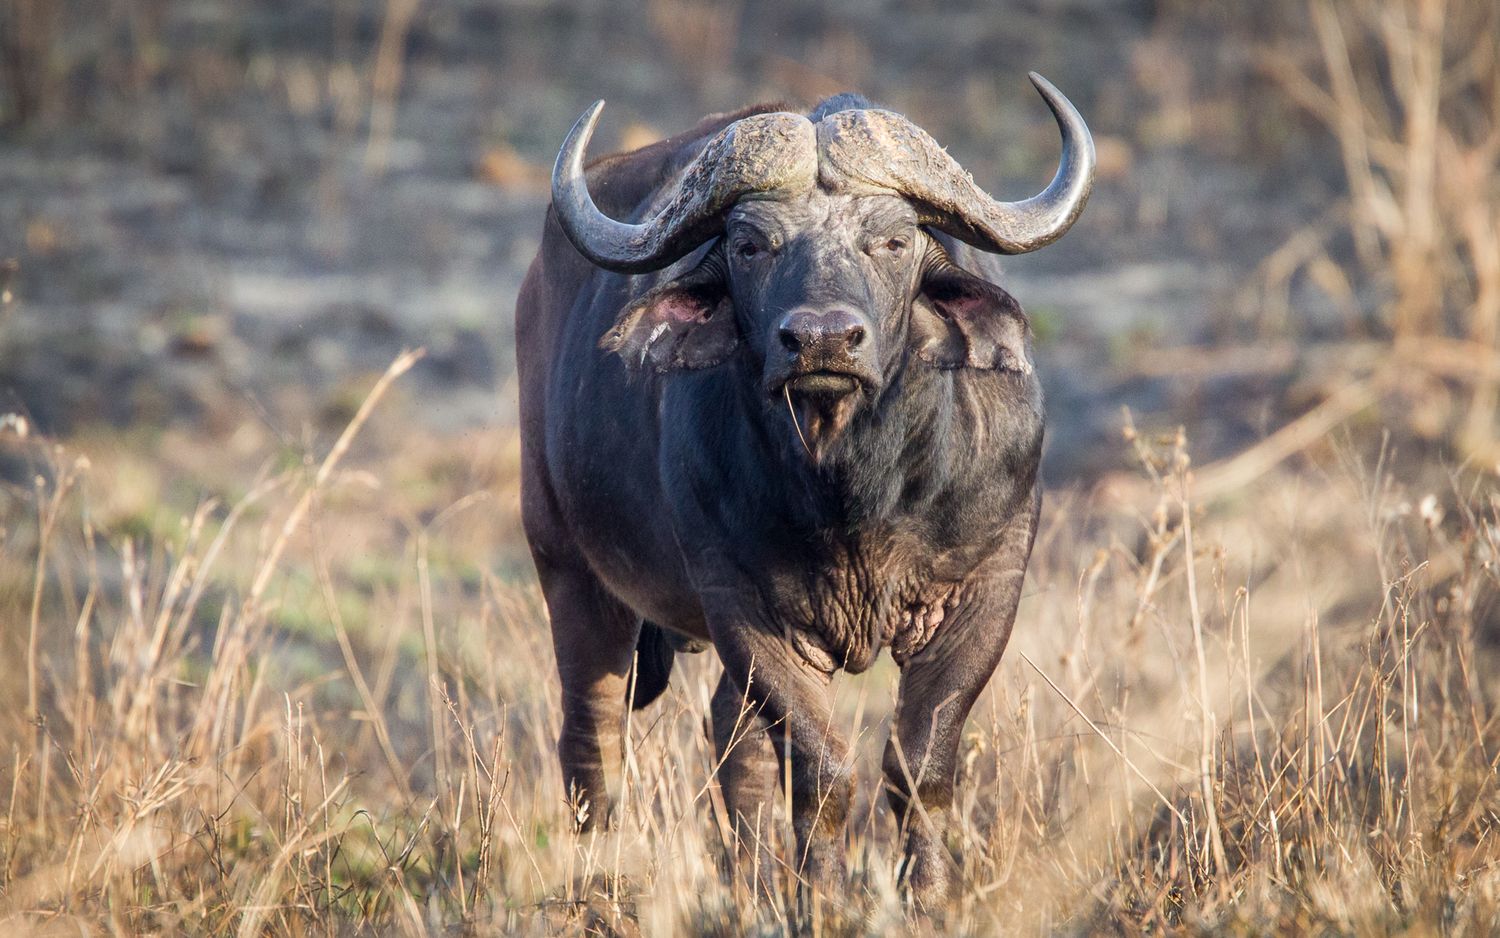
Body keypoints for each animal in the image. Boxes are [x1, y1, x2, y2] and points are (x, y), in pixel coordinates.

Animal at [515, 73, 1093, 909]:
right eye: (750, 245)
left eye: (893, 240)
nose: (821, 340)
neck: (854, 495)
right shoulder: (743, 606)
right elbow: (822, 773)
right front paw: (823, 897)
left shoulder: (987, 586)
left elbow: (920, 765)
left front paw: (925, 897)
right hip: (567, 567)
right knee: (592, 741)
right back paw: (604, 884)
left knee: (732, 738)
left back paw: (753, 882)